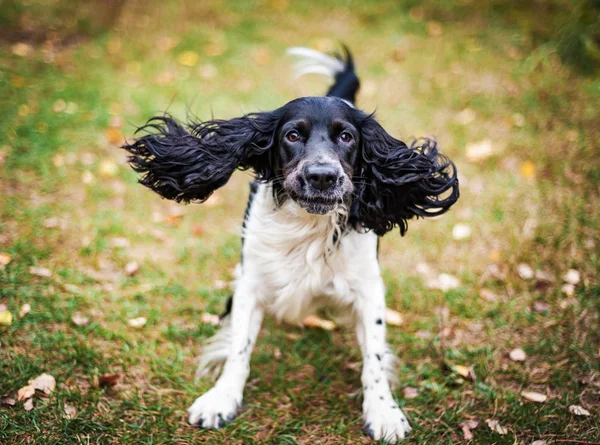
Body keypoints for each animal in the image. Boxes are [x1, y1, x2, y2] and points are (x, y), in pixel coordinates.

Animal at [122, 45, 460, 440]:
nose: (322, 176)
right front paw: (221, 399)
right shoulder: (250, 280)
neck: (308, 227)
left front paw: (383, 412)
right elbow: (238, 347)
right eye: (293, 136)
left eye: (347, 137)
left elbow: (374, 358)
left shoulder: (368, 288)